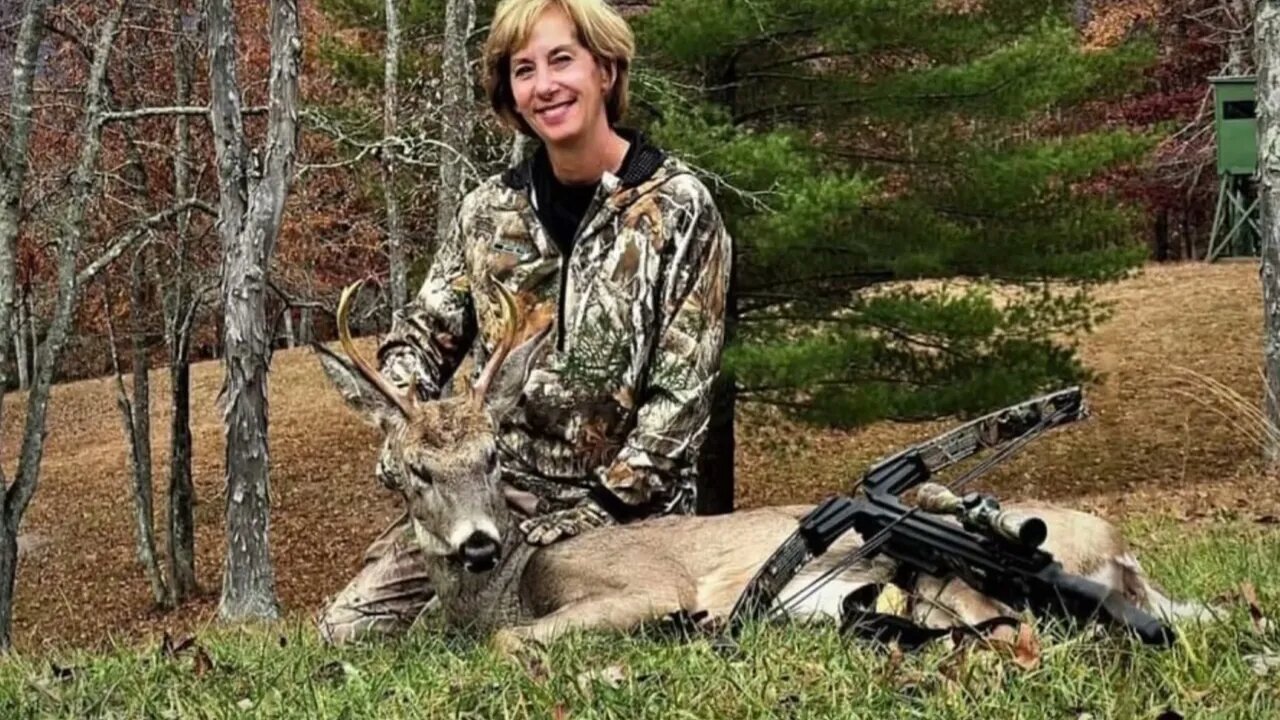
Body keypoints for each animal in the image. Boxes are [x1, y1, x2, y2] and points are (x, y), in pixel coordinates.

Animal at [314, 280, 1213, 655]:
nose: (478, 543)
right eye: (413, 471)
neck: (505, 589)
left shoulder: (642, 585)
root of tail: (1123, 550)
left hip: (957, 579)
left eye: (493, 455)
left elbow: (513, 644)